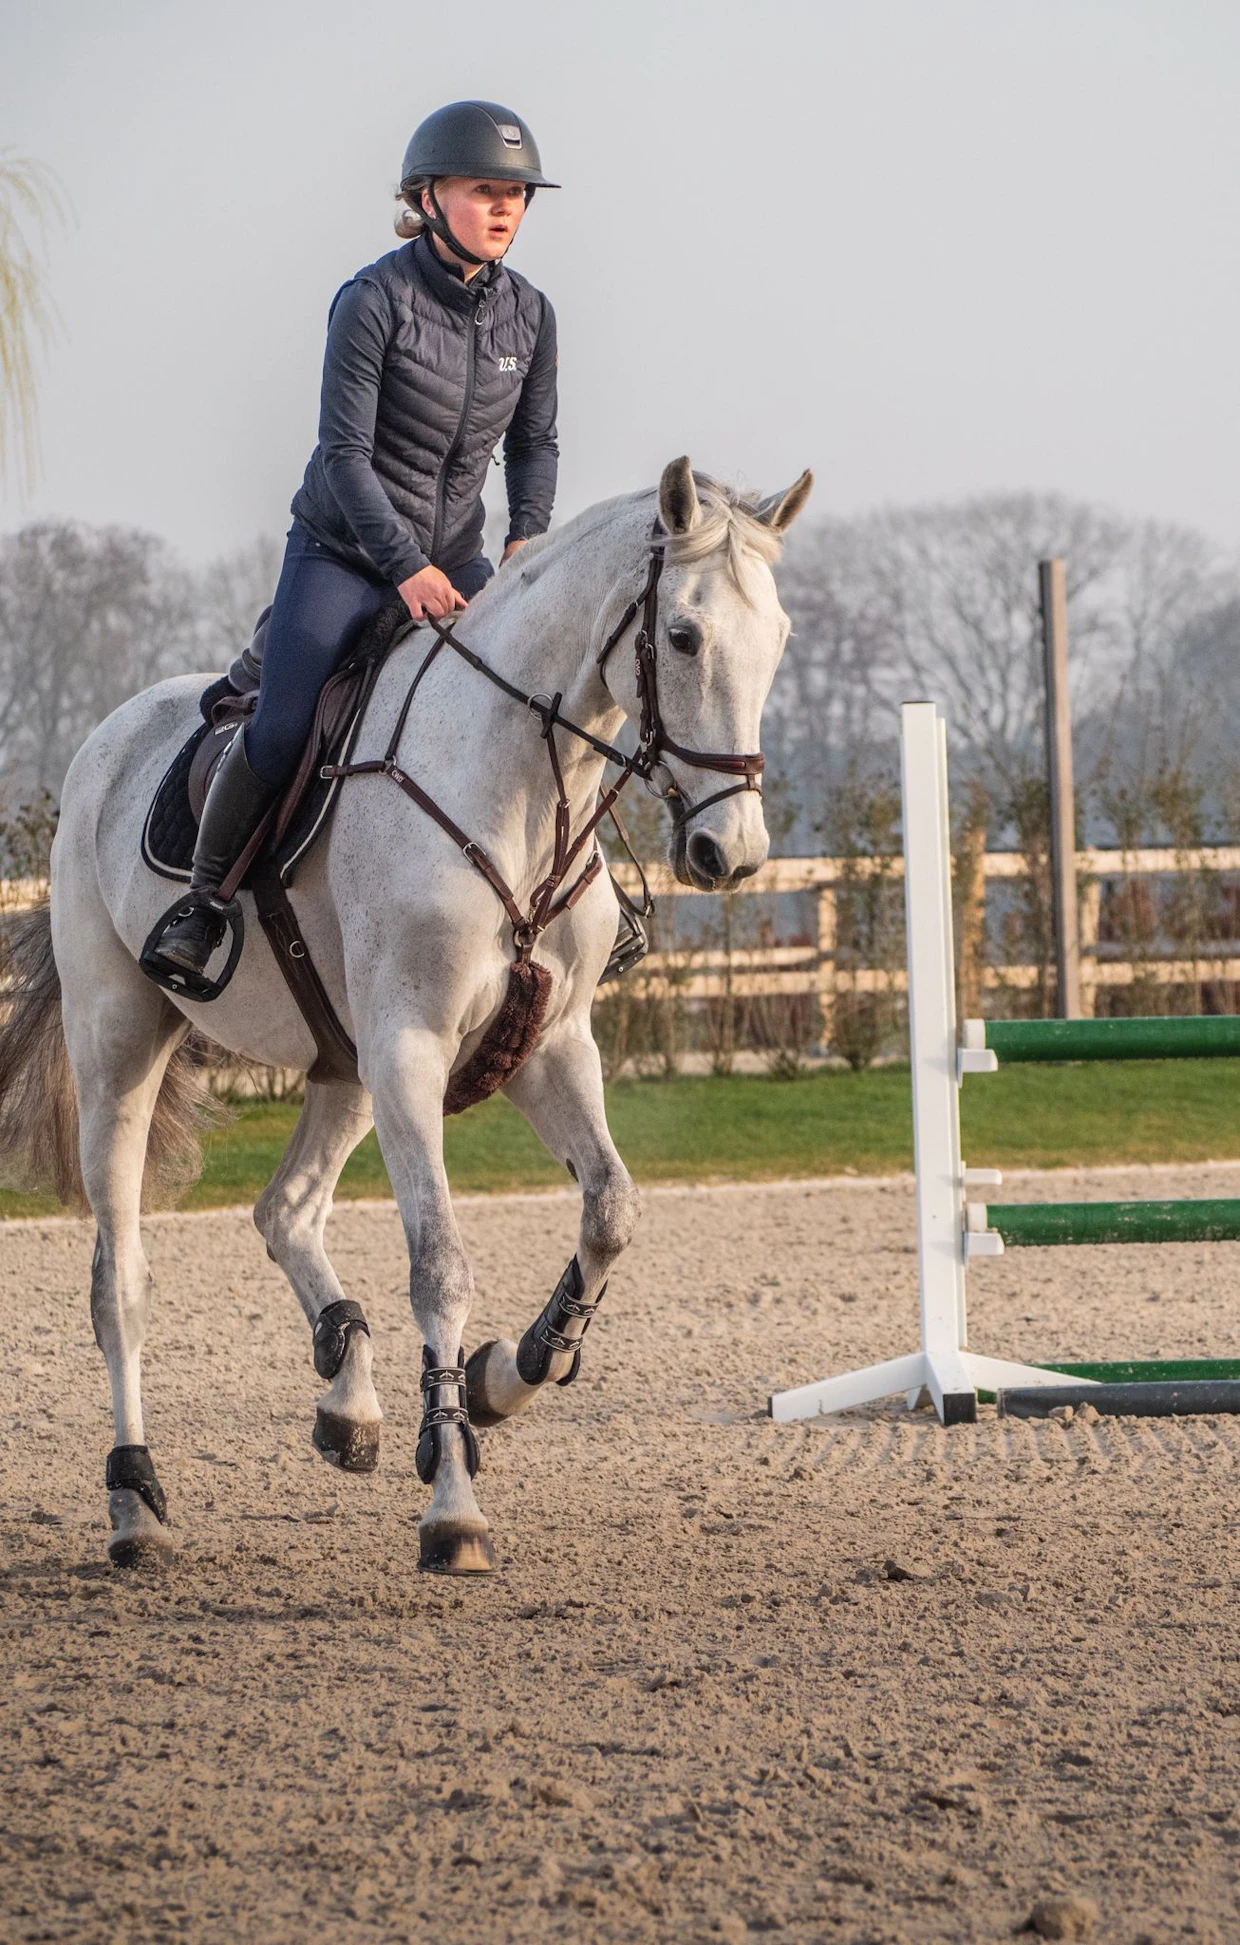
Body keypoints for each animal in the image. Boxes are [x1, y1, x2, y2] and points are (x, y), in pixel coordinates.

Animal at [0, 457, 811, 1574]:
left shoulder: (549, 1048)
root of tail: (106, 739)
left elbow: (609, 1209)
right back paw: (135, 1500)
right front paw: (454, 1498)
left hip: (344, 1065)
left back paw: (347, 1393)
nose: (730, 853)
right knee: (119, 1282)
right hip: (125, 1044)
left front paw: (506, 1375)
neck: (519, 789)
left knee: (285, 1208)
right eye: (683, 637)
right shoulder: (413, 1051)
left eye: (777, 638)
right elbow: (440, 1263)